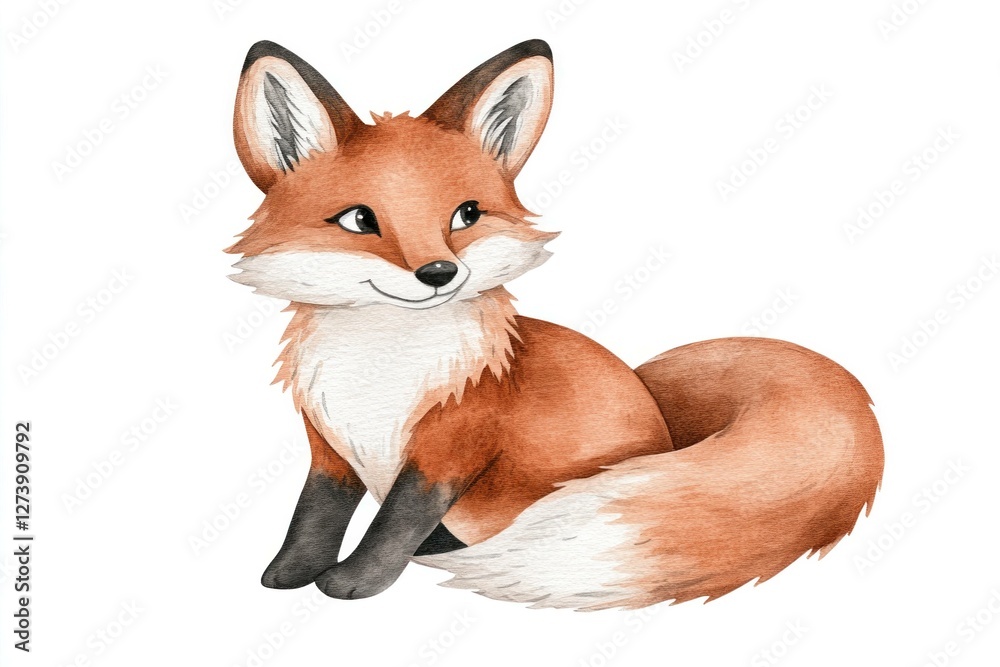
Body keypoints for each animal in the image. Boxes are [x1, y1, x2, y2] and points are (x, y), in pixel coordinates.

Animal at [227, 39, 884, 610]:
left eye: (466, 214)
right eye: (361, 220)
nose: (440, 272)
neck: (379, 371)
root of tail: (665, 430)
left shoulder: (448, 451)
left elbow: (394, 524)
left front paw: (355, 581)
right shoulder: (328, 446)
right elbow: (314, 513)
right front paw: (289, 570)